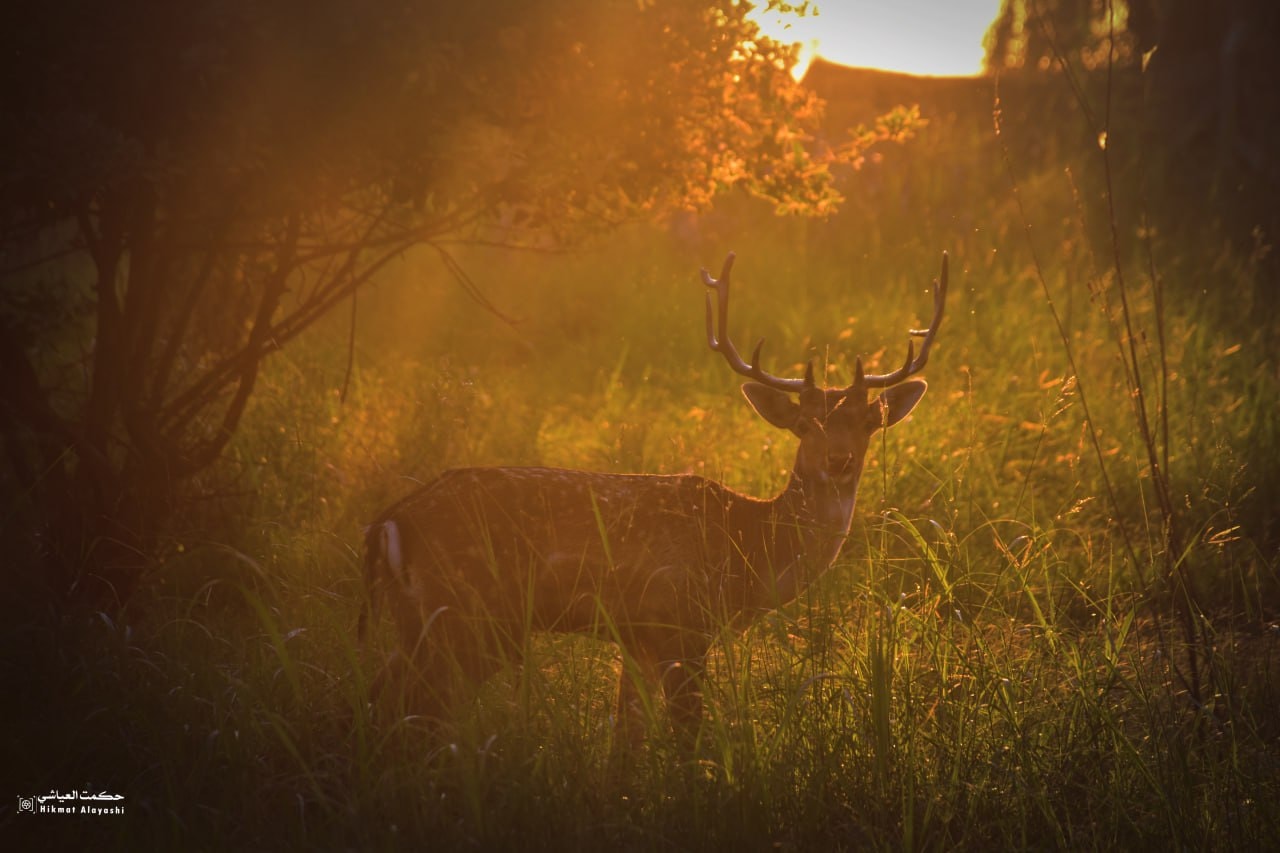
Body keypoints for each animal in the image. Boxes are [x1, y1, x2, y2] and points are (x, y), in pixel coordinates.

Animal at [360, 250, 947, 750]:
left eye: (868, 423)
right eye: (804, 425)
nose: (839, 461)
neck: (750, 549)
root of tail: (390, 522)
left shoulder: (637, 638)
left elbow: (627, 741)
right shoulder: (681, 621)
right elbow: (687, 737)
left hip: (425, 617)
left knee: (383, 697)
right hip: (466, 611)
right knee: (411, 708)